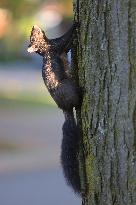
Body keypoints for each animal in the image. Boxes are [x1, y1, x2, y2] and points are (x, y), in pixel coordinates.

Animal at [27, 24, 81, 194]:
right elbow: (66, 38)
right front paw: (75, 24)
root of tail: (64, 109)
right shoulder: (57, 46)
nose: (34, 26)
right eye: (33, 37)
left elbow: (68, 45)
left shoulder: (58, 48)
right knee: (77, 101)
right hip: (68, 87)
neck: (45, 49)